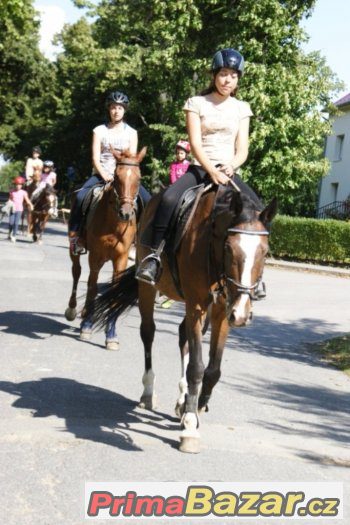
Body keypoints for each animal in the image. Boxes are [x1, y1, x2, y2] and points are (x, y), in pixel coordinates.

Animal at [64, 147, 146, 350]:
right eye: (116, 176)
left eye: (139, 178)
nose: (126, 213)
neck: (113, 223)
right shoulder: (95, 255)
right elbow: (93, 288)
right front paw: (86, 327)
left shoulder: (121, 258)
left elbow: (113, 293)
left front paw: (111, 335)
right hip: (75, 248)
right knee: (77, 273)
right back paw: (73, 310)